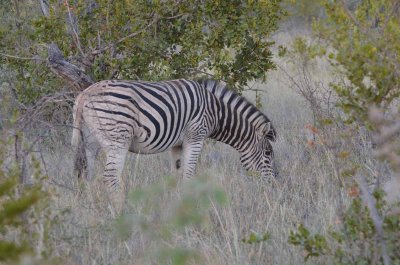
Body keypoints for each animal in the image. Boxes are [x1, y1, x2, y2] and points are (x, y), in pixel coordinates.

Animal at [72, 78, 276, 188]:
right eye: (268, 154)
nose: (274, 184)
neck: (216, 112)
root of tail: (84, 95)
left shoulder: (177, 144)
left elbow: (178, 173)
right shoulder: (195, 136)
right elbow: (188, 174)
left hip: (90, 141)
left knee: (88, 174)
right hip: (117, 139)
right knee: (111, 177)